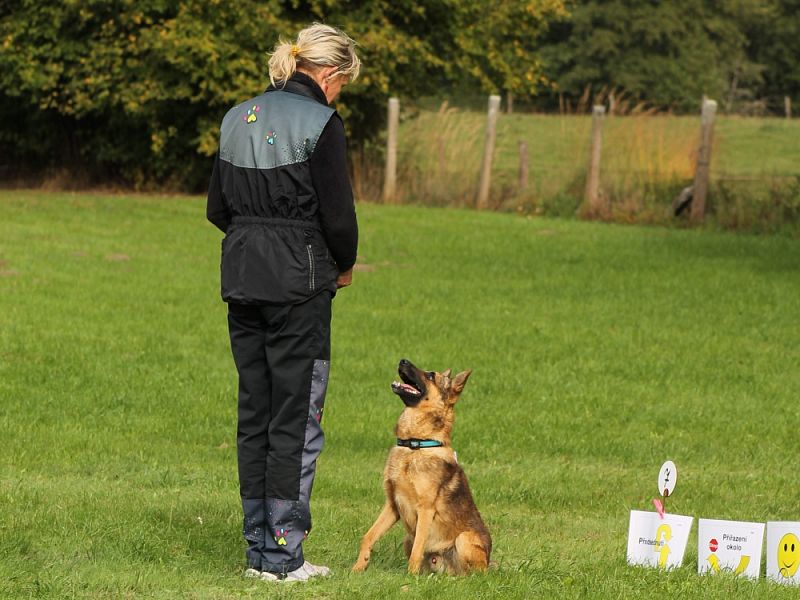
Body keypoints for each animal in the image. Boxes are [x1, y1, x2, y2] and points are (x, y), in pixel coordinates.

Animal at [352, 358, 490, 576]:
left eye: (431, 375)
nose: (402, 360)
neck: (415, 445)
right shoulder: (393, 505)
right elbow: (368, 536)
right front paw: (359, 566)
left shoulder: (425, 510)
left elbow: (418, 549)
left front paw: (410, 577)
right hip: (407, 538)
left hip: (464, 539)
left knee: (472, 574)